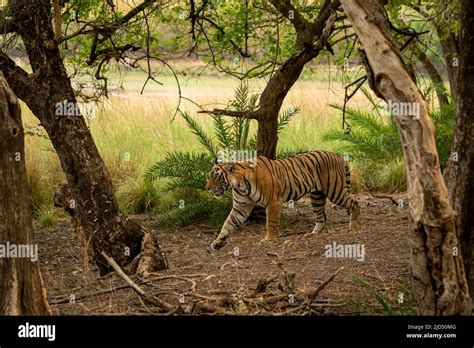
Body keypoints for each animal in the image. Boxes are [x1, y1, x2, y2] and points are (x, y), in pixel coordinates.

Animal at [206, 150, 360, 250]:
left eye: (217, 176)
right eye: (209, 176)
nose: (207, 188)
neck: (239, 185)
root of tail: (337, 155)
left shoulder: (273, 202)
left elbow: (271, 223)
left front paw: (269, 240)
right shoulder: (241, 207)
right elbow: (228, 224)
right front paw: (217, 242)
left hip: (335, 191)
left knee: (355, 203)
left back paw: (353, 227)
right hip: (317, 196)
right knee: (322, 217)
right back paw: (312, 234)